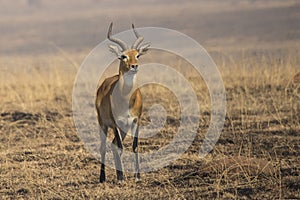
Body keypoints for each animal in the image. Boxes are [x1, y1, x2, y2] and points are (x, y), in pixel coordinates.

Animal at [95, 22, 149, 182]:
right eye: (123, 56)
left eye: (137, 55)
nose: (134, 66)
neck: (126, 99)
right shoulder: (114, 123)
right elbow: (120, 147)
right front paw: (124, 177)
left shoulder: (136, 121)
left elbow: (135, 147)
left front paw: (137, 177)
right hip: (103, 124)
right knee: (104, 147)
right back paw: (103, 178)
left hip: (124, 128)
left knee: (113, 145)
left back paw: (119, 175)